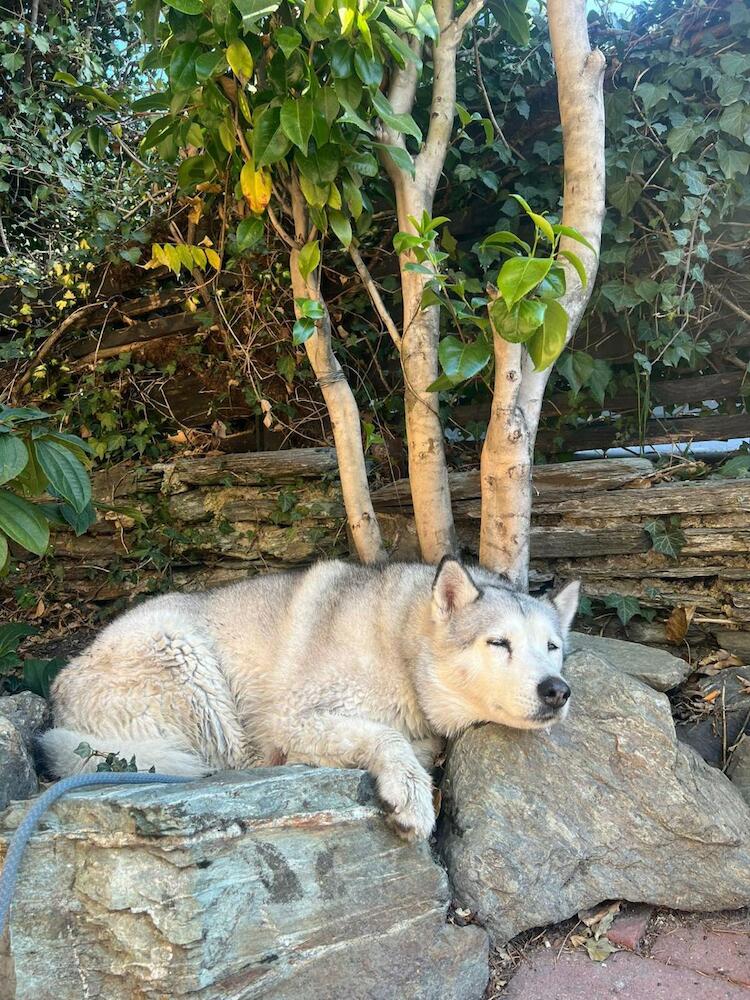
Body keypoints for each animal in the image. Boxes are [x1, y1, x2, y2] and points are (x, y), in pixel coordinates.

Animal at [41, 560, 580, 840]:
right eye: (499, 643)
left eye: (552, 647)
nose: (557, 691)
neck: (402, 646)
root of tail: (59, 695)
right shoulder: (295, 719)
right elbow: (387, 737)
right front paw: (411, 793)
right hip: (187, 658)